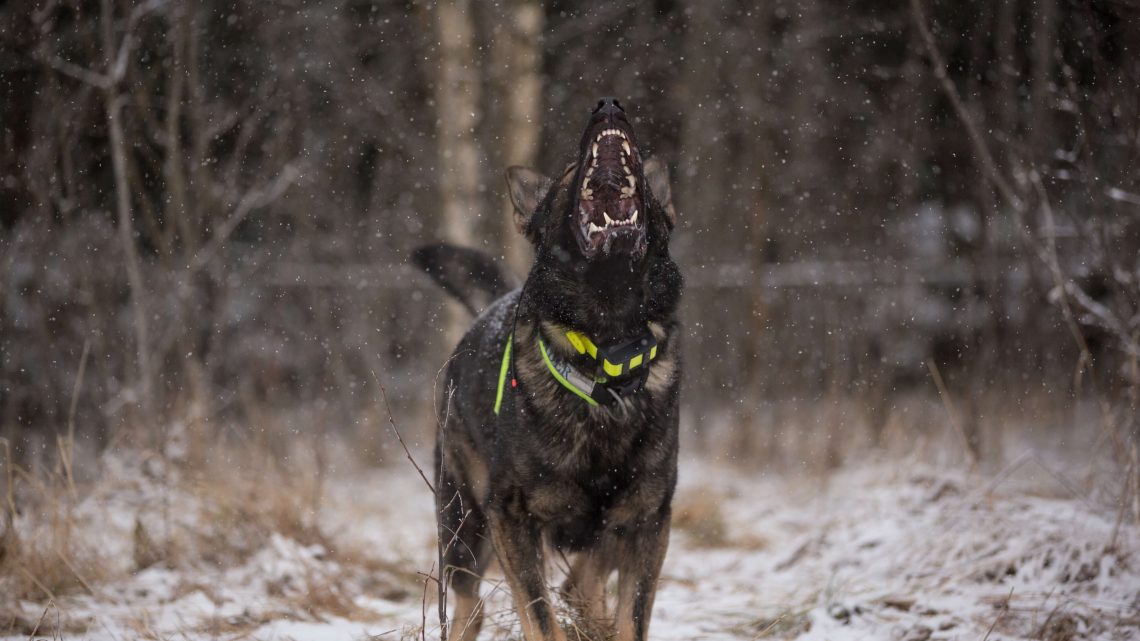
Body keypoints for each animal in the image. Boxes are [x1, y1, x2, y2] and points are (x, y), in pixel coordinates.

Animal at [414, 95, 679, 638]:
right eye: (569, 171)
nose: (608, 104)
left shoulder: (648, 519)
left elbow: (631, 615)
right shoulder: (512, 518)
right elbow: (539, 615)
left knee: (581, 583)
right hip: (465, 525)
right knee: (470, 603)